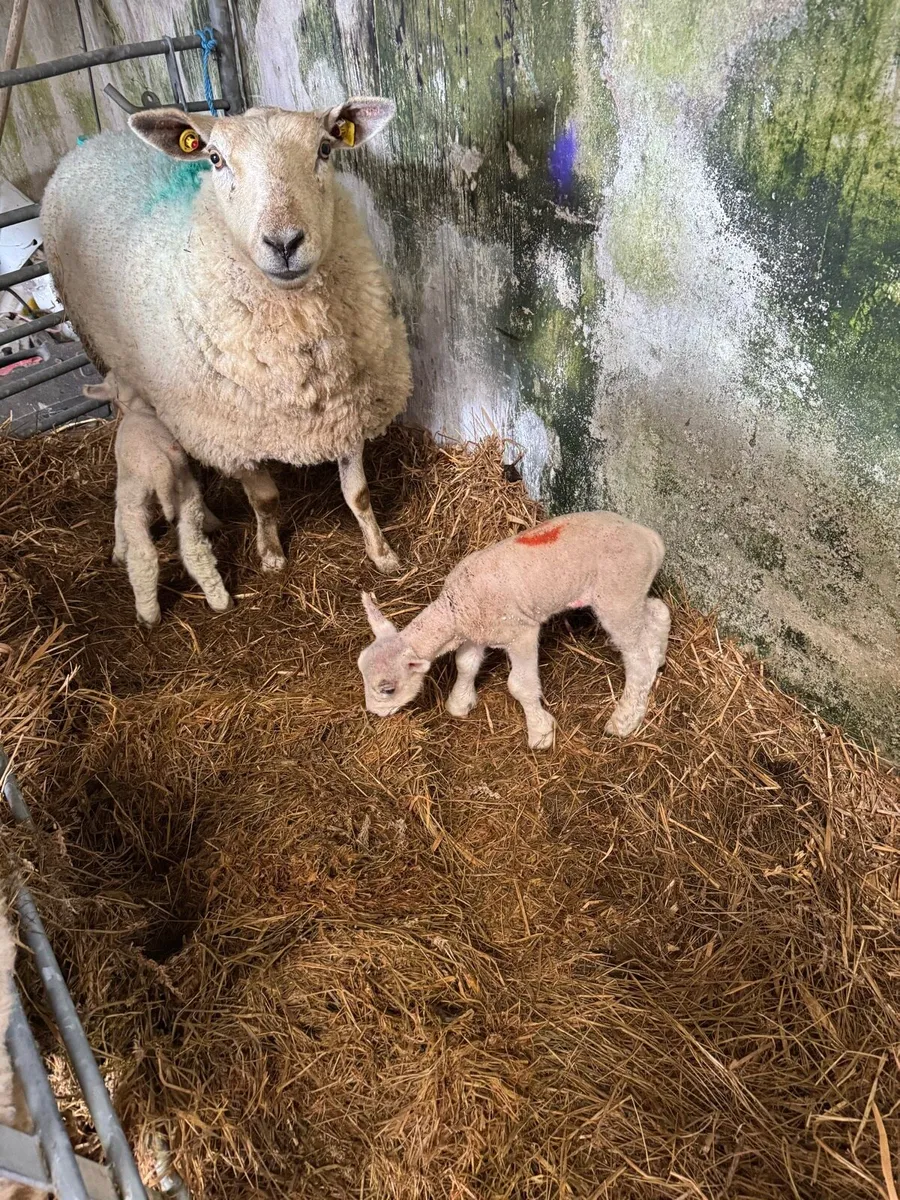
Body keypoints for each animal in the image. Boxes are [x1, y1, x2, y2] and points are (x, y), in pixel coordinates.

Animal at [41, 98, 412, 576]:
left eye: (325, 149)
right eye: (215, 158)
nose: (284, 243)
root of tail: (99, 139)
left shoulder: (347, 409)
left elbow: (358, 495)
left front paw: (381, 552)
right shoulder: (236, 435)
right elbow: (265, 500)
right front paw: (271, 553)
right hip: (101, 347)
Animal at [82, 374, 232, 627]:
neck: (138, 408)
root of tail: (159, 464)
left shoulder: (123, 489)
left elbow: (117, 520)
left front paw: (117, 554)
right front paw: (213, 523)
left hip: (134, 500)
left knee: (144, 557)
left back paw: (148, 615)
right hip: (185, 494)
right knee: (195, 550)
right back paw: (220, 600)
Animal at [358, 512, 670, 749]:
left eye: (388, 689)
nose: (374, 712)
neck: (456, 608)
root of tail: (651, 538)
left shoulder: (520, 633)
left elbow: (520, 685)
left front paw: (540, 732)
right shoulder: (476, 632)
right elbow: (465, 664)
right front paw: (460, 702)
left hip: (618, 593)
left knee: (637, 657)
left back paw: (625, 718)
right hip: (631, 593)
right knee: (658, 611)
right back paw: (659, 657)